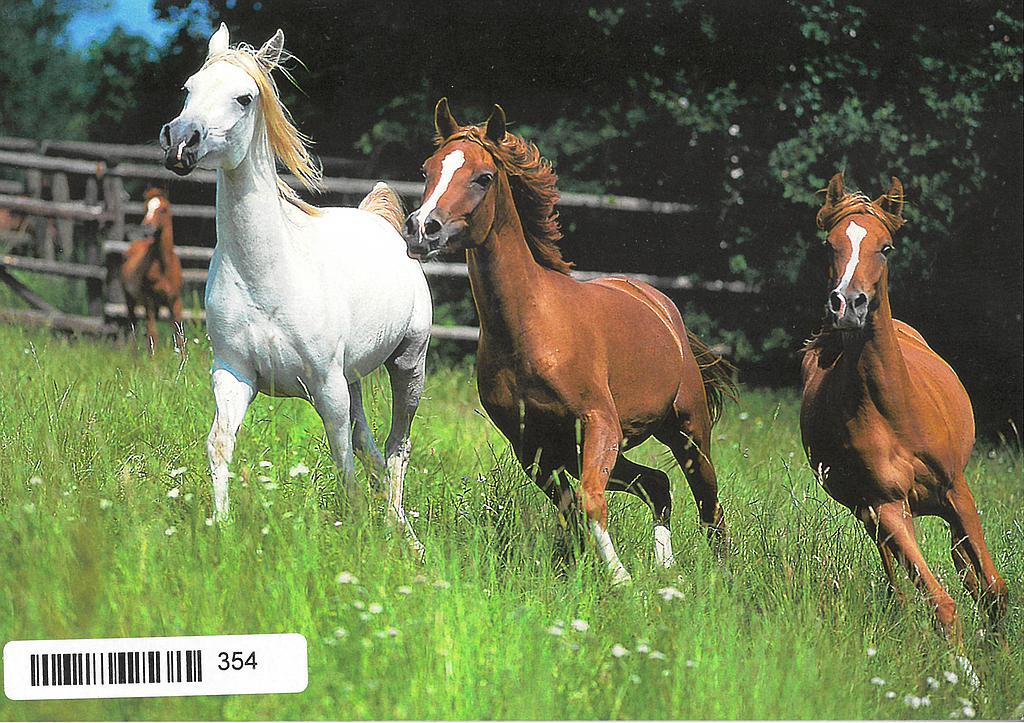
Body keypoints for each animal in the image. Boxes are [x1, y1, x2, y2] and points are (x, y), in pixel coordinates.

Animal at [120, 187, 185, 353]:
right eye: (145, 208)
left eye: (163, 209)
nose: (146, 227)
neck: (163, 267)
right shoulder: (149, 300)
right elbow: (152, 336)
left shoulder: (175, 300)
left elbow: (179, 336)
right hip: (131, 300)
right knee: (134, 329)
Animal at [159, 24, 432, 551]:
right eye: (186, 89)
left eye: (244, 98)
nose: (181, 141)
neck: (269, 277)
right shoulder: (234, 375)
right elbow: (219, 443)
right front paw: (222, 529)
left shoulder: (326, 385)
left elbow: (341, 456)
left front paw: (353, 528)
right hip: (353, 378)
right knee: (370, 444)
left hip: (409, 364)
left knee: (397, 446)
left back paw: (403, 532)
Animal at [402, 99, 736, 583]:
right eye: (427, 169)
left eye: (483, 177)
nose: (422, 228)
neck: (528, 329)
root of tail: (661, 306)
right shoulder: (534, 447)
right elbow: (571, 508)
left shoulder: (599, 423)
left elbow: (590, 501)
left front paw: (621, 580)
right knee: (658, 484)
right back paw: (666, 569)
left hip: (688, 431)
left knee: (708, 504)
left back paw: (716, 575)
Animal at [800, 172, 1008, 641]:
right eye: (829, 244)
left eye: (886, 247)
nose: (847, 304)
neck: (895, 411)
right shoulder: (888, 506)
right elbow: (941, 603)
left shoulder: (956, 490)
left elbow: (993, 588)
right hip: (873, 515)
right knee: (901, 580)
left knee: (966, 566)